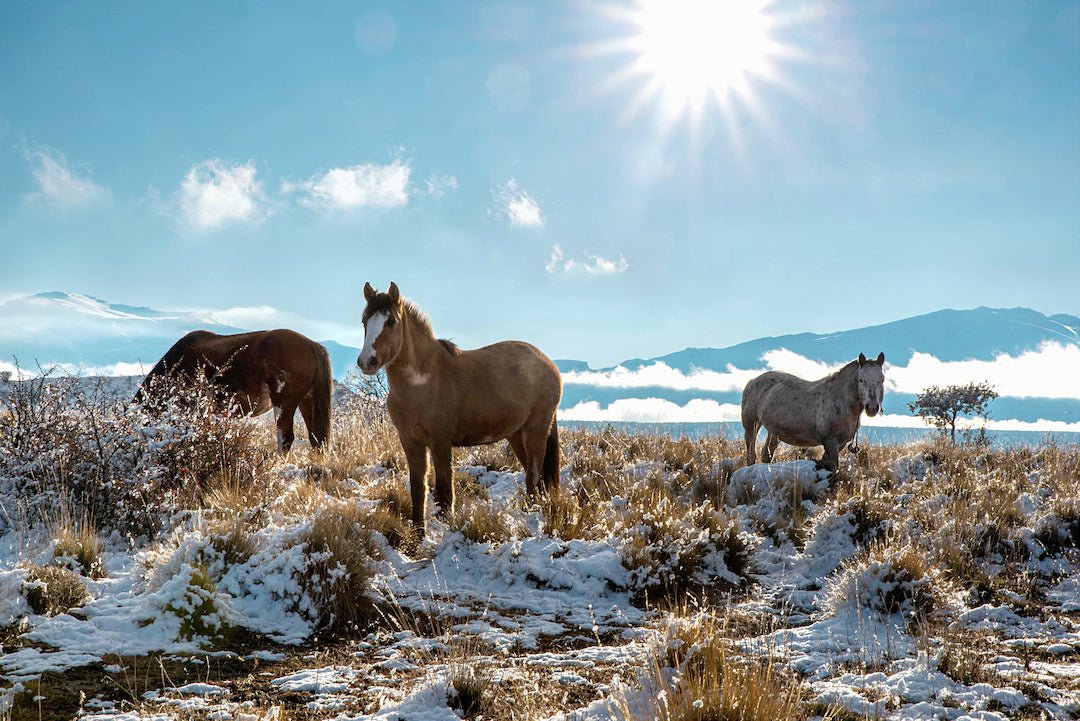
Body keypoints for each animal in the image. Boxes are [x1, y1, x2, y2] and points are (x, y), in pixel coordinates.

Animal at [358, 280, 561, 535]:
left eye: (391, 321)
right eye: (365, 321)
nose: (367, 361)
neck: (423, 381)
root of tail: (548, 364)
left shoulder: (440, 442)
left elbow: (445, 491)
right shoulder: (411, 442)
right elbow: (418, 489)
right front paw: (419, 533)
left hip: (536, 430)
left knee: (533, 475)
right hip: (516, 434)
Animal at [743, 354, 885, 472]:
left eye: (882, 380)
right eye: (861, 380)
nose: (872, 407)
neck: (841, 399)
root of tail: (752, 381)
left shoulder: (840, 444)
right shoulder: (831, 441)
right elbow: (832, 467)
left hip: (772, 430)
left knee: (766, 453)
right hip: (751, 424)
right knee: (751, 453)